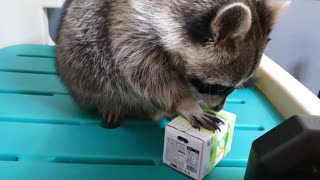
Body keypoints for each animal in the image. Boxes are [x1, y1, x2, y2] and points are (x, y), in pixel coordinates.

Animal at [56, 0, 292, 129]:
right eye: (219, 87)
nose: (218, 108)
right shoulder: (130, 28)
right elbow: (143, 71)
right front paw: (185, 102)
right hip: (80, 64)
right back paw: (111, 103)